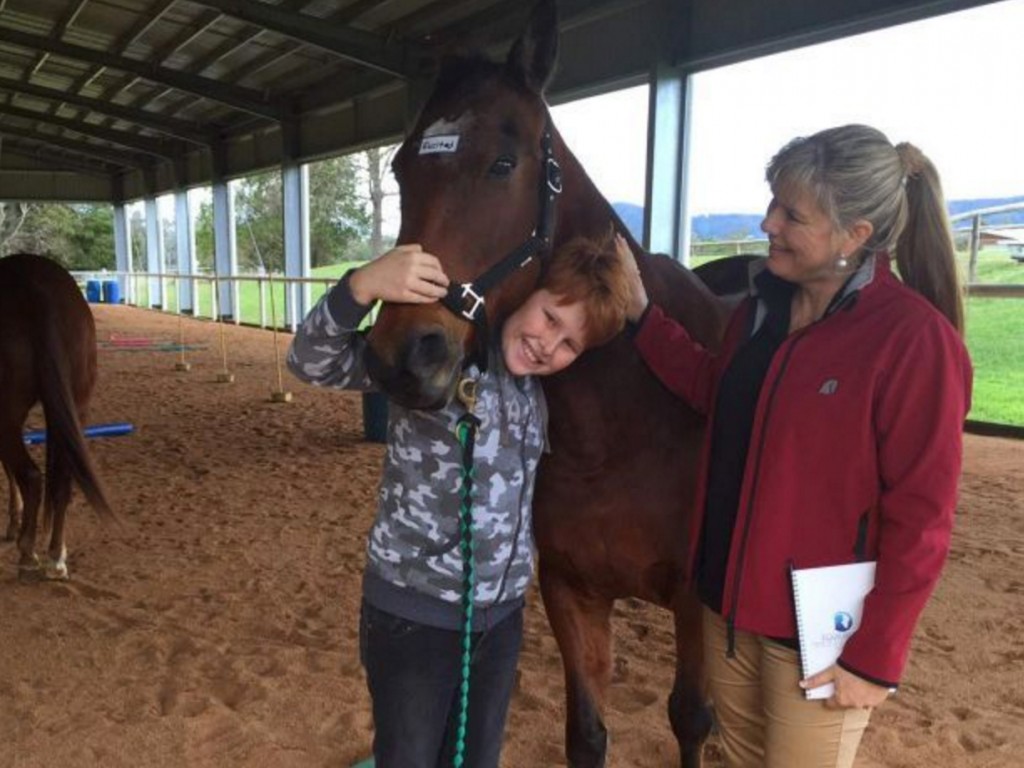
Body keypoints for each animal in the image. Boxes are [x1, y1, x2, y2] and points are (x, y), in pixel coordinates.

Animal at [0, 256, 112, 581]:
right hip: (77, 407)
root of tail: (34, 286)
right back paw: (55, 556)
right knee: (62, 481)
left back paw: (27, 553)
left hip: (6, 414)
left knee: (31, 475)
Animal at [364, 3, 741, 765]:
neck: (626, 422)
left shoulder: (694, 603)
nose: (403, 355)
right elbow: (587, 732)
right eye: (399, 167)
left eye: (503, 164)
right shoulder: (571, 591)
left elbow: (691, 717)